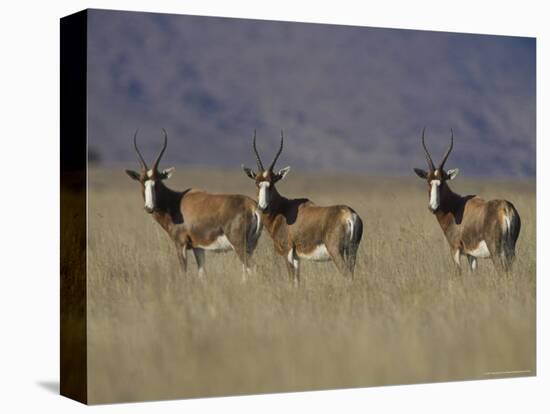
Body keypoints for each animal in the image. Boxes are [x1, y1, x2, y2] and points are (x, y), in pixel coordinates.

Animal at [125, 129, 264, 278]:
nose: (149, 207)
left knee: (253, 268)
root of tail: (252, 206)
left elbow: (184, 272)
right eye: (142, 182)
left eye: (157, 182)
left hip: (239, 245)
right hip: (251, 245)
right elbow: (202, 273)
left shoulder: (180, 244)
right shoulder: (198, 248)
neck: (176, 201)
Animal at [243, 130, 364, 284]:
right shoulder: (296, 258)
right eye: (257, 183)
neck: (284, 209)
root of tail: (349, 215)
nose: (263, 207)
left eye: (272, 183)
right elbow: (297, 282)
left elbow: (291, 281)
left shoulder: (288, 253)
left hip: (336, 252)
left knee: (347, 276)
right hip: (352, 252)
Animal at [416, 128, 524, 274]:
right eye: (428, 182)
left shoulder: (455, 249)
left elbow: (459, 273)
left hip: (496, 252)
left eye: (442, 182)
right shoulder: (471, 254)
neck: (456, 207)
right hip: (510, 251)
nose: (433, 207)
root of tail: (506, 208)